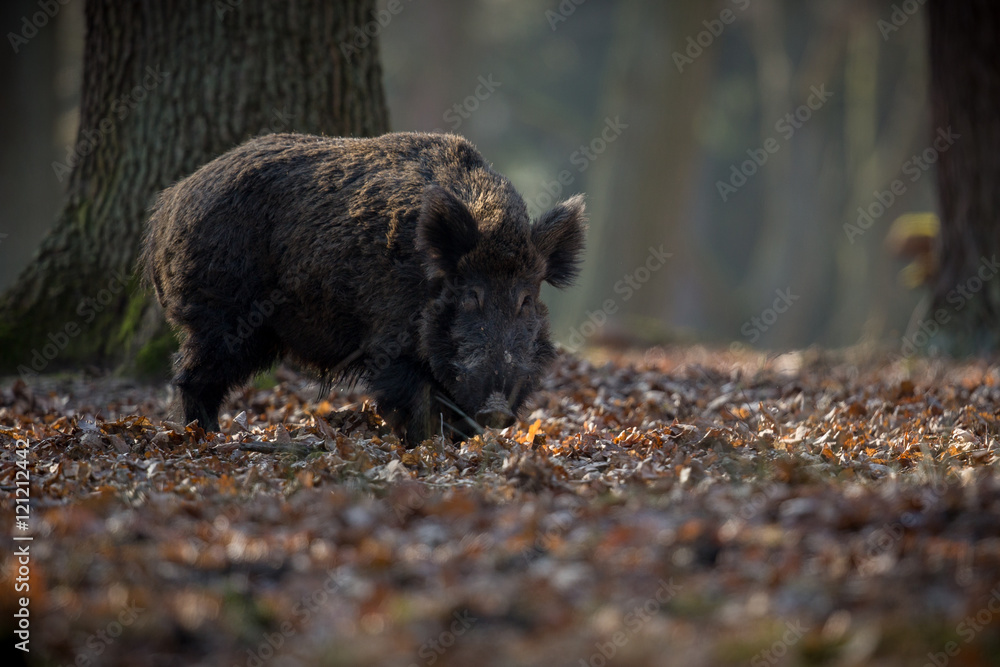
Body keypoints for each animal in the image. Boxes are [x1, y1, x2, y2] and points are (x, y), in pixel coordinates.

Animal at [141, 132, 586, 445]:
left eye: (526, 300)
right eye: (471, 295)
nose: (497, 408)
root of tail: (166, 208)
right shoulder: (388, 340)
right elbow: (415, 401)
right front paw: (425, 448)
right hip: (219, 316)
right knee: (191, 375)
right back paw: (205, 436)